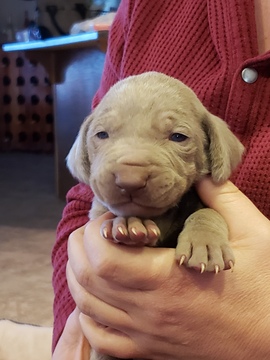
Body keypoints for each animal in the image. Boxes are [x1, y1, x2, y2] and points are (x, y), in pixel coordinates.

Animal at [66, 71, 244, 360]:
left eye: (179, 137)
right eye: (101, 134)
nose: (130, 179)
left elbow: (207, 211)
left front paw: (205, 244)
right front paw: (129, 224)